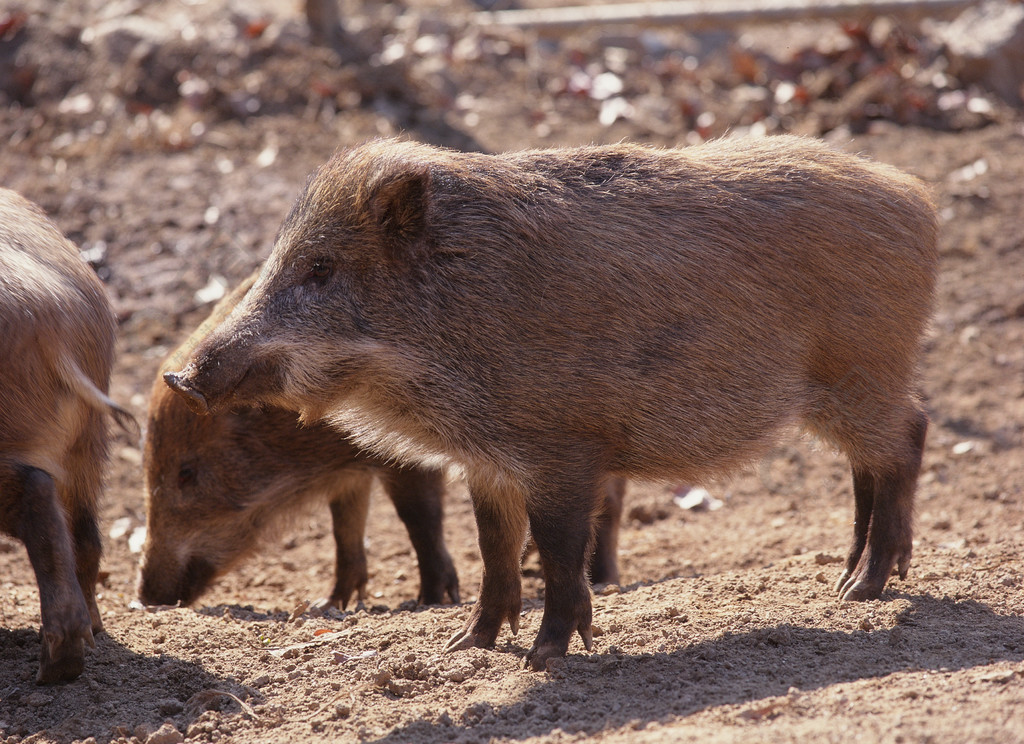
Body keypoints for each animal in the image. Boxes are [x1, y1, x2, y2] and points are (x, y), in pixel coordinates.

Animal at [0, 187, 132, 687]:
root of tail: (51, 323)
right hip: (89, 441)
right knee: (85, 531)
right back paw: (88, 641)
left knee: (36, 496)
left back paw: (54, 669)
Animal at [139, 274, 460, 609]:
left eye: (186, 473)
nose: (147, 597)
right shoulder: (349, 474)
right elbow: (344, 526)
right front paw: (328, 605)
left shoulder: (408, 451)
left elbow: (419, 517)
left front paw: (431, 601)